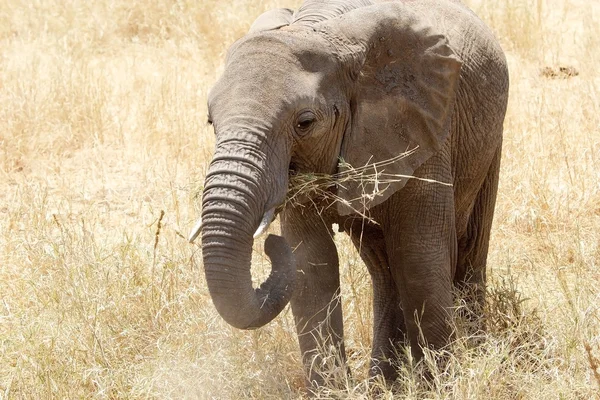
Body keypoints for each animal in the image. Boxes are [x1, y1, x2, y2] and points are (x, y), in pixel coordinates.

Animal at [188, 0, 506, 388]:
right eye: (211, 122)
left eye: (305, 123)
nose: (269, 244)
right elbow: (312, 261)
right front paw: (333, 391)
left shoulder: (425, 131)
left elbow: (418, 253)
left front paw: (439, 386)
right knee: (383, 268)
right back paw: (383, 385)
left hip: (488, 138)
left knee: (468, 244)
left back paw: (471, 353)